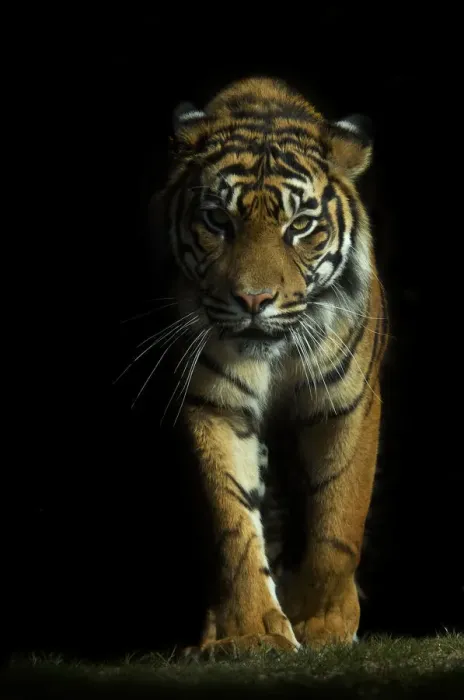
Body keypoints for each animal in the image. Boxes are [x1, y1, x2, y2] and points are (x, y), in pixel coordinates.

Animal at [149, 76, 389, 655]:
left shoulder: (346, 402)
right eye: (219, 219)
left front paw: (323, 623)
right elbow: (232, 524)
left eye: (300, 226)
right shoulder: (215, 404)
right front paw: (252, 632)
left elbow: (337, 519)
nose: (254, 300)